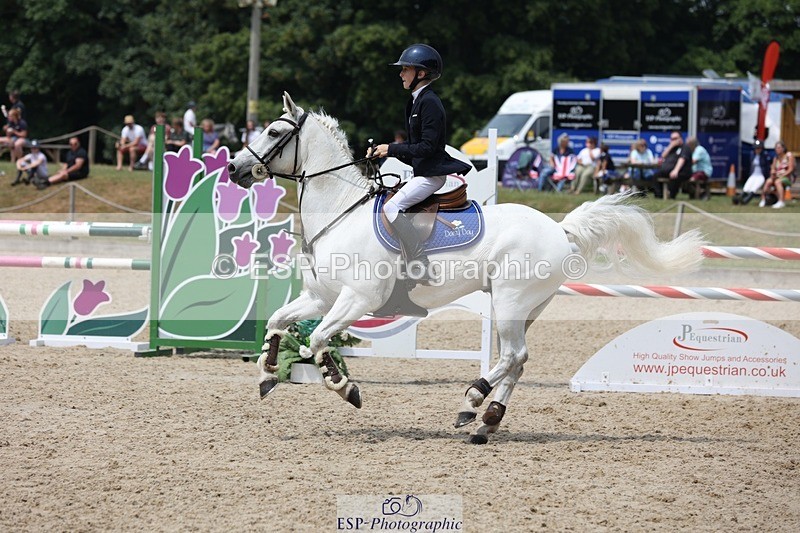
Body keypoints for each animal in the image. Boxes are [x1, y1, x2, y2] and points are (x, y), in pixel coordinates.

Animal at [227, 92, 706, 444]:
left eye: (273, 130)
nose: (233, 167)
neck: (341, 213)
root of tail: (559, 227)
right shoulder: (320, 296)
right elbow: (279, 322)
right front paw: (267, 373)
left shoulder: (357, 300)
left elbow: (320, 339)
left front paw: (345, 387)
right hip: (523, 307)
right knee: (518, 361)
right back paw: (486, 420)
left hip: (511, 302)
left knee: (513, 356)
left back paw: (473, 399)